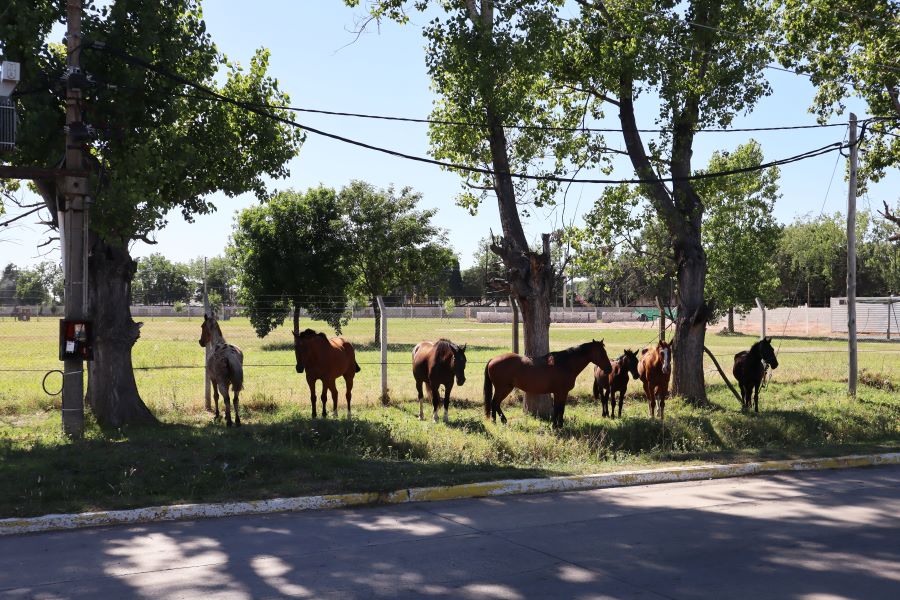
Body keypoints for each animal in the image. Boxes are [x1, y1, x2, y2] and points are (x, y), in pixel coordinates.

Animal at [483, 339, 612, 429]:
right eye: (601, 353)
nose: (609, 368)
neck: (565, 364)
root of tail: (493, 359)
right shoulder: (560, 392)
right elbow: (558, 408)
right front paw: (557, 426)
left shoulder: (561, 393)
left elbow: (560, 408)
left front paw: (558, 425)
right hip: (503, 388)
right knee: (495, 403)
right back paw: (499, 421)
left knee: (495, 403)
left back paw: (497, 421)